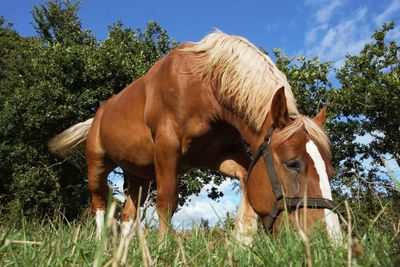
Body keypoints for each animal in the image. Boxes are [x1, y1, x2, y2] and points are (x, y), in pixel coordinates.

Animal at [48, 30, 342, 245]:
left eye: (330, 170)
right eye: (293, 164)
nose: (331, 242)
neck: (204, 86)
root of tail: (99, 113)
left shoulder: (220, 155)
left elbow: (247, 181)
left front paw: (242, 243)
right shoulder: (166, 149)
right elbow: (167, 202)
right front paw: (163, 248)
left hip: (139, 176)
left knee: (128, 215)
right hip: (97, 164)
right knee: (99, 204)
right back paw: (100, 244)